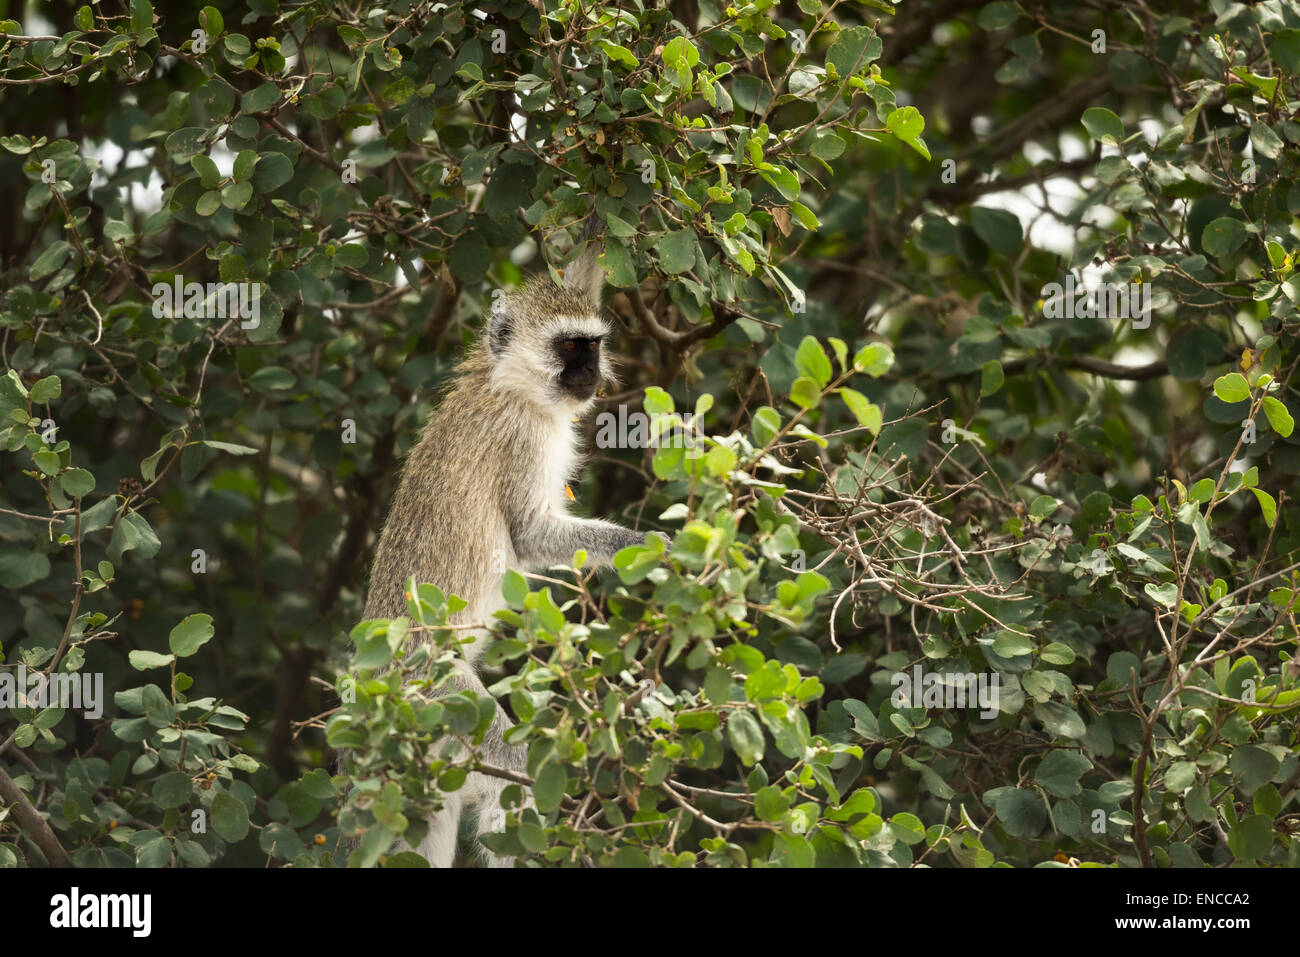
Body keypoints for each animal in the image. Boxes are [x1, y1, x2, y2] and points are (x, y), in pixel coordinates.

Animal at [356, 226, 660, 868]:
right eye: (569, 347)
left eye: (591, 345)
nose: (592, 374)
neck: (512, 385)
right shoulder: (524, 438)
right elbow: (531, 533)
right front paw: (651, 545)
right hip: (437, 698)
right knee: (511, 772)